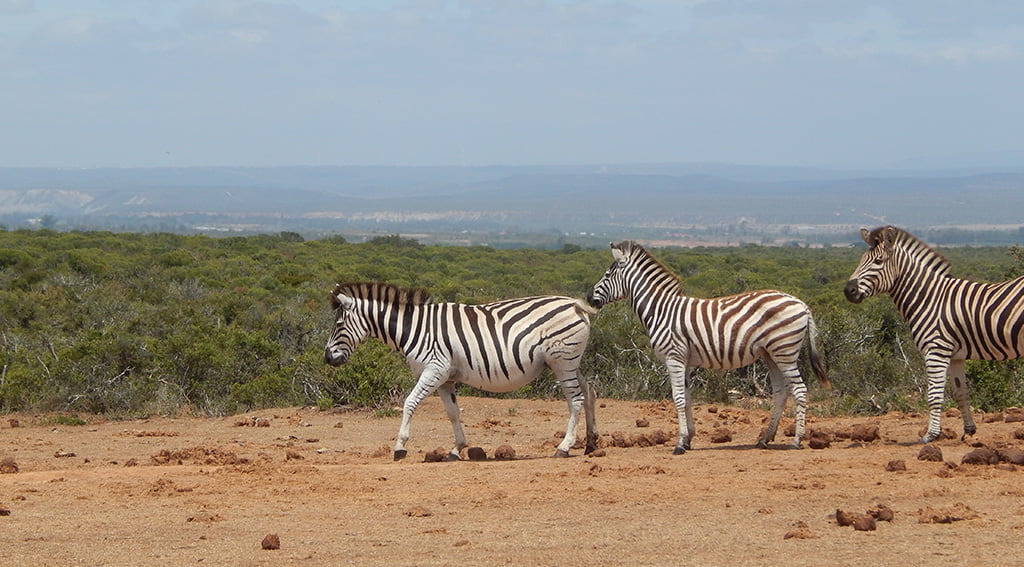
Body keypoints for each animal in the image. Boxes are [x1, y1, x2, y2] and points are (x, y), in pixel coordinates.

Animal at [323, 280, 598, 458]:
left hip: (562, 361)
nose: (327, 357)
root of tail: (575, 304)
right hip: (569, 362)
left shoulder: (434, 369)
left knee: (575, 399)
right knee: (588, 392)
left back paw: (564, 447)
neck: (414, 328)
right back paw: (591, 443)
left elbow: (409, 402)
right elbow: (453, 412)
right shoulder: (445, 378)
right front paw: (457, 449)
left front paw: (400, 447)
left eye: (339, 324)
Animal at [585, 240, 831, 452]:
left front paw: (679, 444)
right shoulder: (684, 361)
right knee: (781, 392)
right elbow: (687, 398)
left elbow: (678, 398)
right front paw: (687, 439)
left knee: (799, 390)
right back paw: (764, 439)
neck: (662, 310)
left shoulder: (674, 357)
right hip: (771, 354)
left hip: (785, 351)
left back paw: (796, 440)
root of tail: (802, 304)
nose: (588, 297)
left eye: (607, 274)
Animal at [843, 225, 1024, 442]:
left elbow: (934, 396)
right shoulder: (955, 356)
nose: (848, 290)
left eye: (878, 261)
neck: (930, 298)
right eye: (862, 259)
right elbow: (961, 393)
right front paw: (969, 430)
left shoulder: (936, 351)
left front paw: (931, 435)